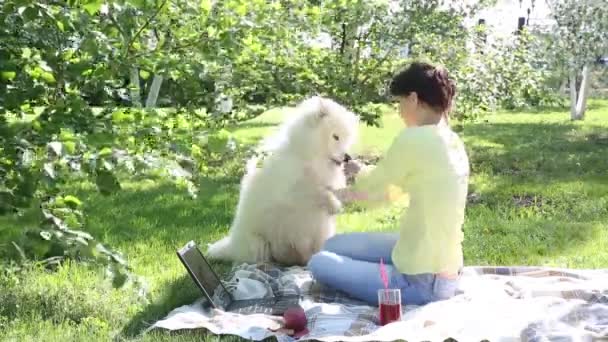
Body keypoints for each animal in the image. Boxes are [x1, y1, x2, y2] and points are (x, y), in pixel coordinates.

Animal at [207, 96, 358, 268]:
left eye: (347, 138)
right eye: (335, 136)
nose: (347, 157)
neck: (307, 156)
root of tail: (233, 245)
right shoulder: (291, 189)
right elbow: (316, 191)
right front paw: (333, 205)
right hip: (260, 244)